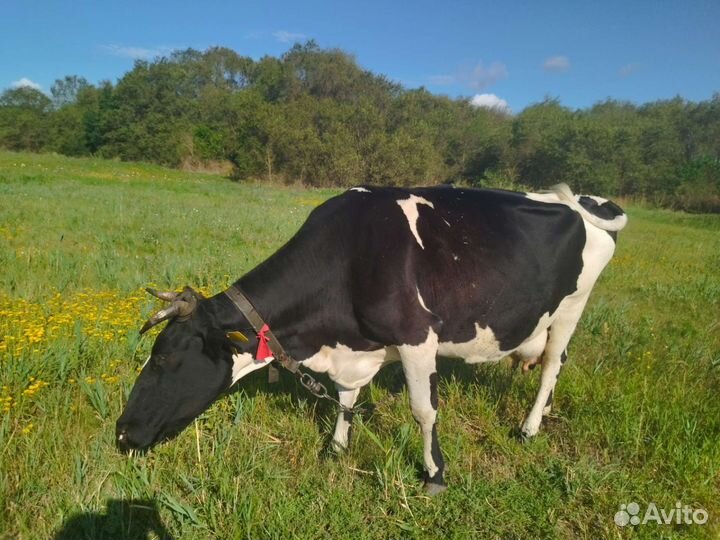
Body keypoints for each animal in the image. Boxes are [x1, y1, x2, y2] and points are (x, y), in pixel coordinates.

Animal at [116, 183, 627, 494]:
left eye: (165, 359)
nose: (121, 433)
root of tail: (584, 200)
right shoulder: (354, 351)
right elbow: (345, 398)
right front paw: (336, 449)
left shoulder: (417, 337)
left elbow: (424, 411)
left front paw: (435, 474)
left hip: (572, 308)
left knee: (551, 367)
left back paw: (529, 428)